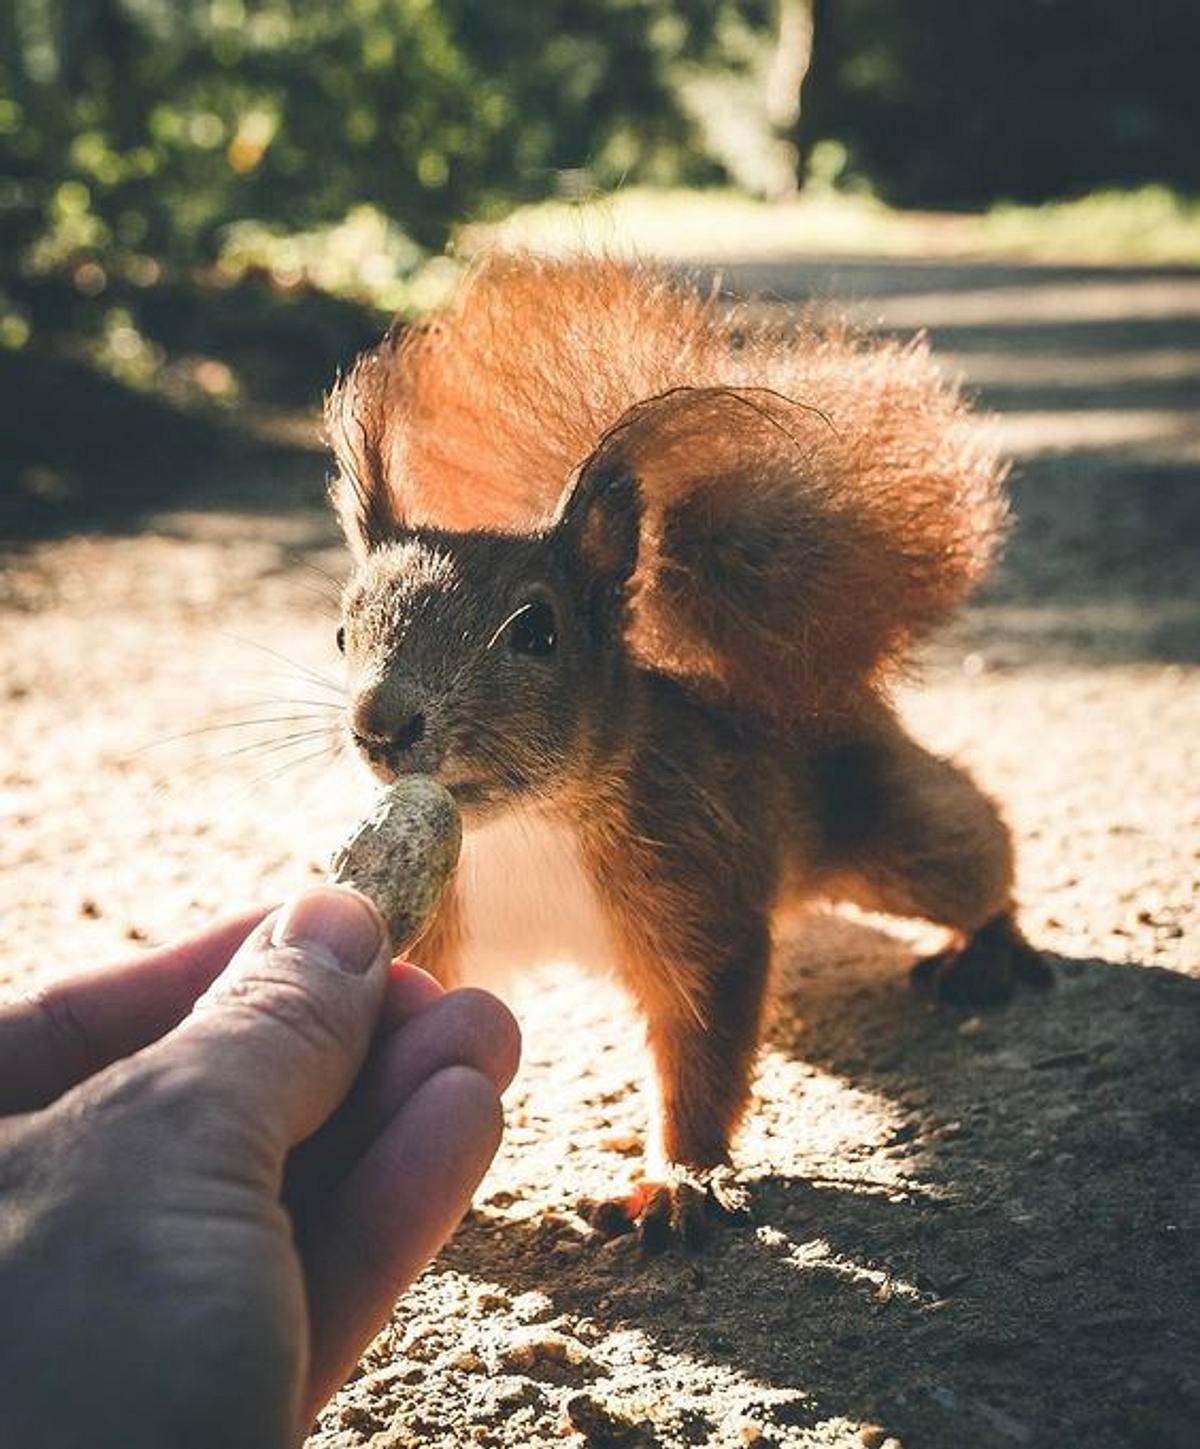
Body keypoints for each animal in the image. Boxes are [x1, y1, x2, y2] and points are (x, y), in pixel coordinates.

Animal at [323, 252, 1043, 1246]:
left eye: (538, 633)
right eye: (341, 633)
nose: (380, 723)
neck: (525, 822)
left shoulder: (698, 878)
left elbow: (706, 1037)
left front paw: (677, 1182)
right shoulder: (444, 922)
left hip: (893, 830)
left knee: (969, 849)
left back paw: (992, 949)